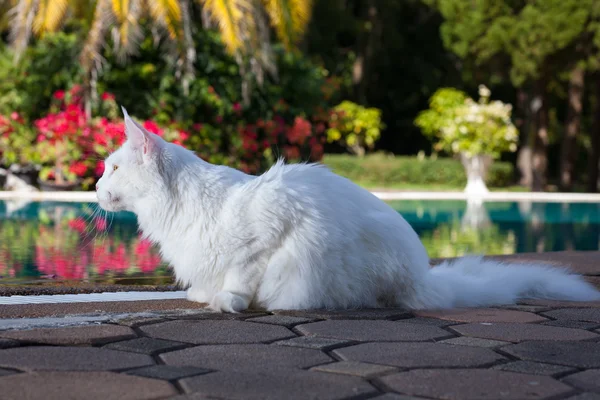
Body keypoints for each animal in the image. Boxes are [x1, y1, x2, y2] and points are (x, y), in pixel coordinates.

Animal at [96, 109, 600, 312]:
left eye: (113, 168)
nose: (96, 187)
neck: (179, 207)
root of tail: (424, 279)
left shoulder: (265, 232)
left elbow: (240, 277)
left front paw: (227, 302)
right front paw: (203, 294)